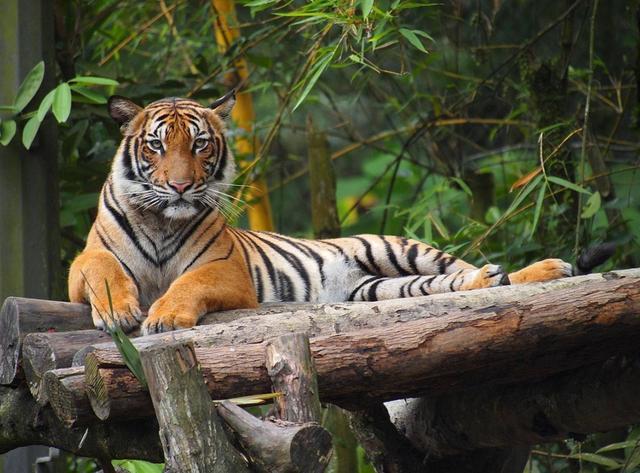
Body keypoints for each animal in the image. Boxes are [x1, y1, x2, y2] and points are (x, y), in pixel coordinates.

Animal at [68, 90, 574, 335]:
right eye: (156, 145)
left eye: (200, 144)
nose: (179, 186)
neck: (161, 220)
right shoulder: (81, 264)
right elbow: (102, 270)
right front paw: (118, 313)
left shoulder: (224, 269)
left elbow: (188, 284)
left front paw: (166, 317)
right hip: (380, 288)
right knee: (448, 285)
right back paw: (496, 277)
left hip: (400, 248)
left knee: (465, 268)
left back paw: (547, 269)